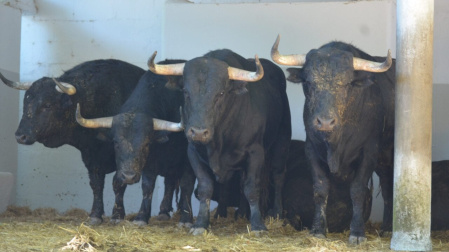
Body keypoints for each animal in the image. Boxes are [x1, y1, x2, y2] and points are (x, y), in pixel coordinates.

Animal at [0, 59, 144, 224]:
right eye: (25, 103)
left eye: (47, 105)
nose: (20, 136)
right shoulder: (90, 156)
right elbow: (96, 184)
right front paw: (95, 215)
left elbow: (118, 183)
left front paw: (117, 216)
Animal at [149, 49, 290, 234]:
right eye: (186, 92)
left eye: (221, 94)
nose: (199, 132)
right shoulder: (193, 152)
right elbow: (206, 187)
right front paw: (201, 224)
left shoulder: (255, 153)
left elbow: (252, 188)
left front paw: (258, 225)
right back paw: (228, 214)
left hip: (282, 142)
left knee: (278, 176)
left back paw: (277, 213)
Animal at [270, 36, 392, 244]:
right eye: (309, 82)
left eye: (346, 83)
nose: (325, 122)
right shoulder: (311, 150)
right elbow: (320, 189)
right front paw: (318, 229)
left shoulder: (369, 152)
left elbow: (357, 190)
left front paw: (357, 232)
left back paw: (387, 229)